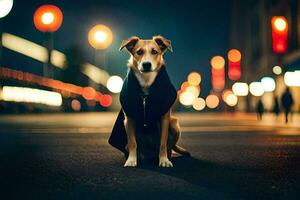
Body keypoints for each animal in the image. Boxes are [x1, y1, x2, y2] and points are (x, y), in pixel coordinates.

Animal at [109, 35, 191, 167]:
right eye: (139, 52)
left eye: (154, 52)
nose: (146, 64)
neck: (146, 81)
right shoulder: (129, 119)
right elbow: (133, 142)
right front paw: (131, 160)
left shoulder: (164, 118)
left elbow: (163, 143)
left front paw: (164, 160)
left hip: (174, 123)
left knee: (168, 148)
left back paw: (167, 156)